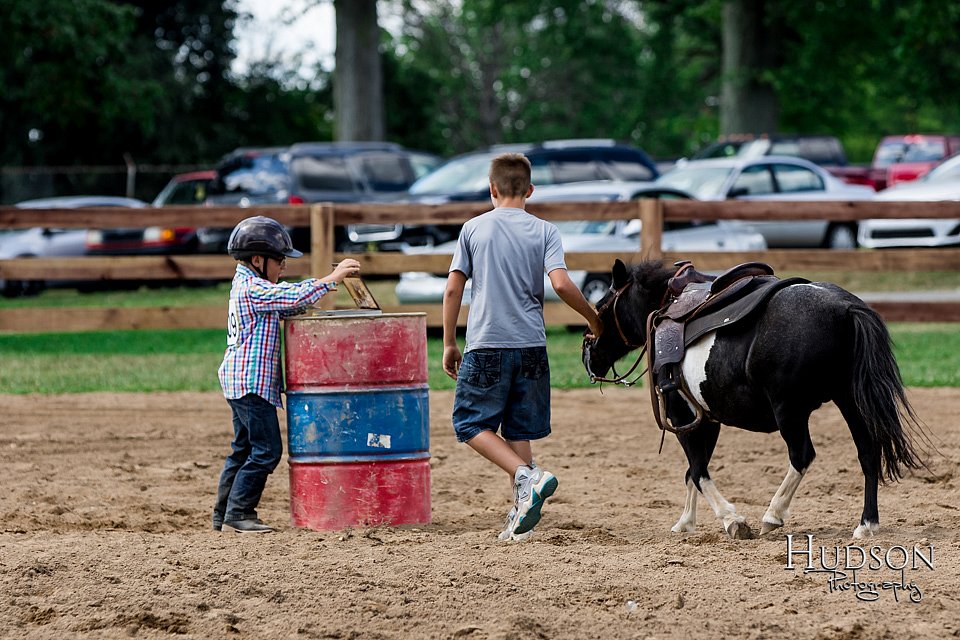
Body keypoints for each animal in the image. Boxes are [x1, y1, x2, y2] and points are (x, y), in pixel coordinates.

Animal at [580, 260, 928, 540]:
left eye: (600, 307)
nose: (588, 353)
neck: (663, 308)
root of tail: (844, 307)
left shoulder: (682, 415)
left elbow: (697, 469)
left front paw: (732, 520)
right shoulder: (707, 417)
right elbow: (694, 469)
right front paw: (685, 522)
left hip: (790, 410)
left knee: (802, 455)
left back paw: (773, 515)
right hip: (849, 401)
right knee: (868, 452)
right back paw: (866, 524)